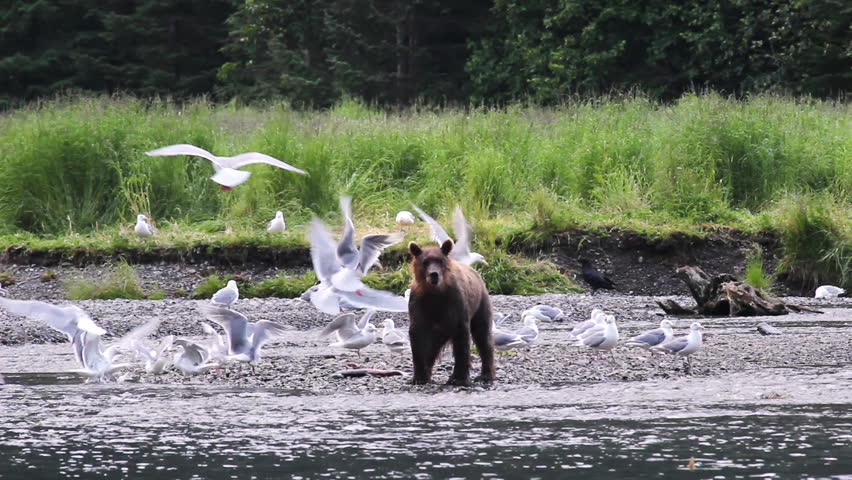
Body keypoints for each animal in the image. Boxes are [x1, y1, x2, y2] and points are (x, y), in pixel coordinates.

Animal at [407, 238, 495, 386]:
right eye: (425, 262)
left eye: (440, 261)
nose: (434, 274)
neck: (435, 293)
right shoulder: (419, 304)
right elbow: (418, 336)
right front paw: (419, 377)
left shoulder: (455, 303)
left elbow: (462, 339)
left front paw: (459, 377)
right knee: (434, 345)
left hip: (480, 302)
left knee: (482, 334)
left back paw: (486, 375)